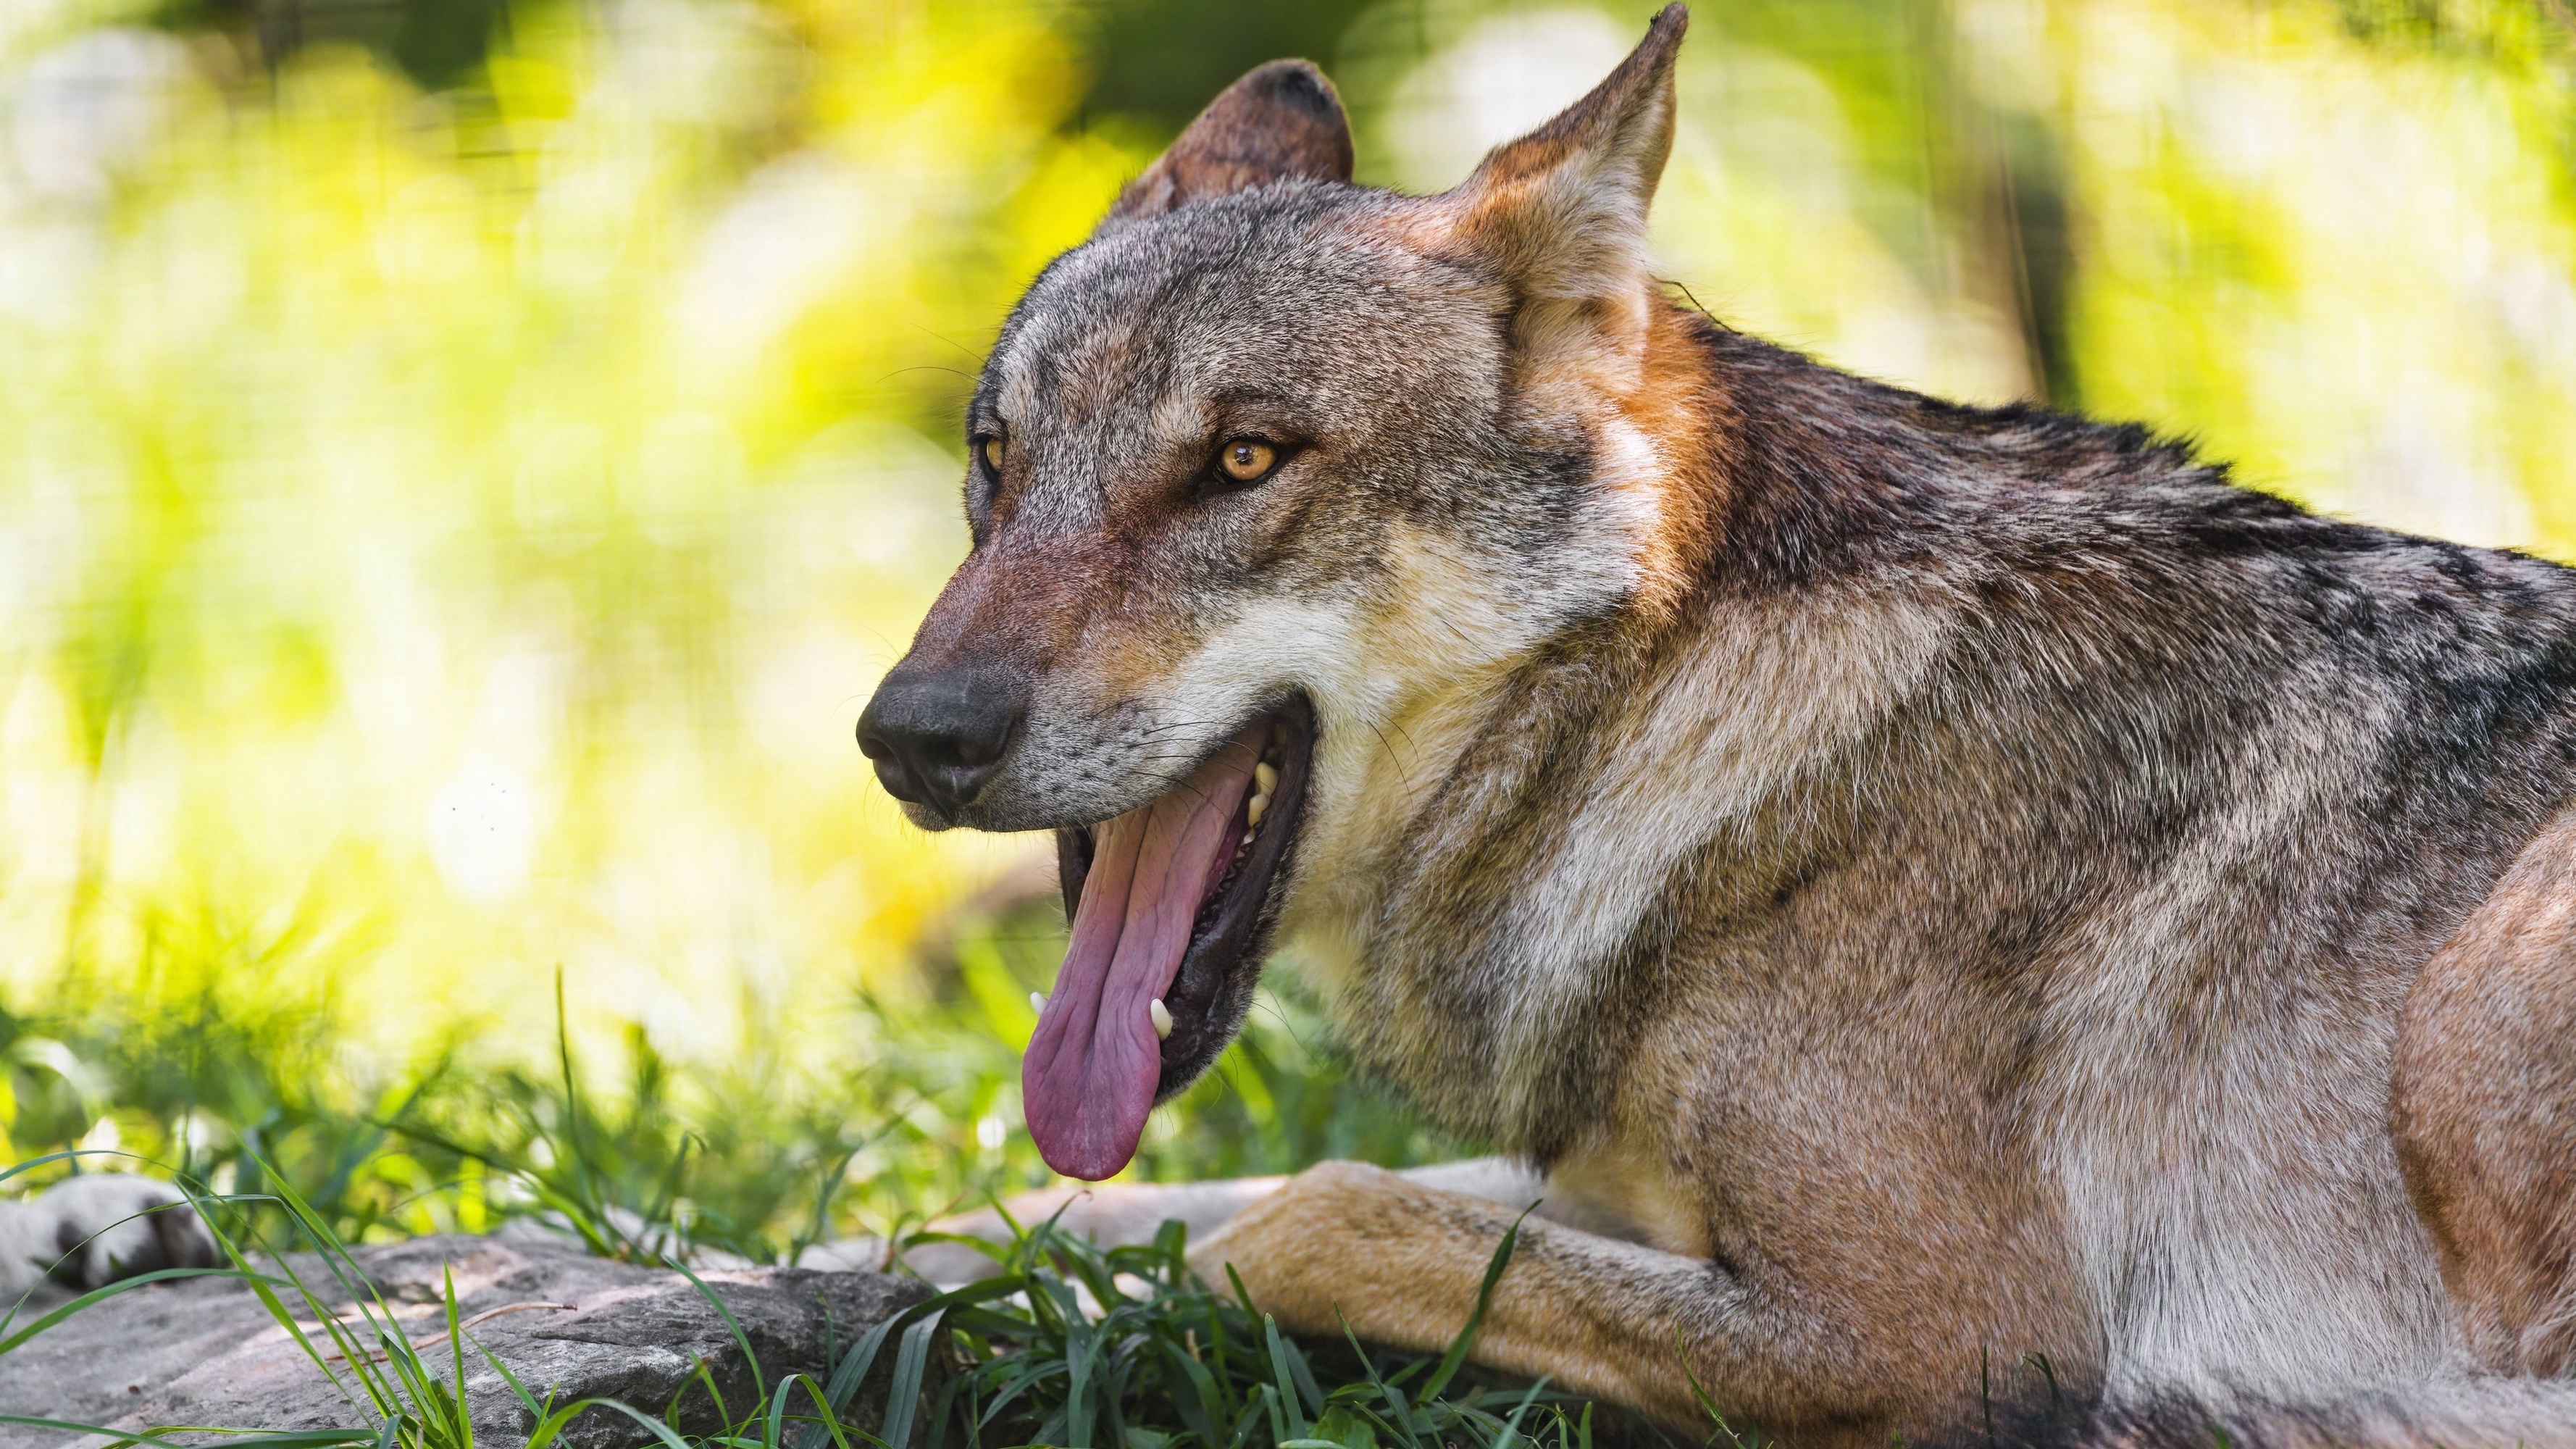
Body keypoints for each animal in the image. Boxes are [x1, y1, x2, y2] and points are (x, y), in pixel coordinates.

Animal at [850, 8, 2576, 1433]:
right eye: (996, 458)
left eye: (1244, 462)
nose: (912, 737)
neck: (1662, 712)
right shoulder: (1613, 1189)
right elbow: (1081, 1214)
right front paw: (842, 1263)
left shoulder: (1930, 1325)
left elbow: (1304, 1214)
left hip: (2470, 1001)